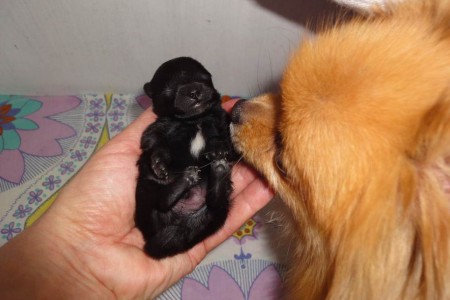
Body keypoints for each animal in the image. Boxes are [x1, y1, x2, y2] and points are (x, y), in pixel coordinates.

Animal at [135, 57, 236, 258]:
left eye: (204, 78)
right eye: (168, 91)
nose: (193, 91)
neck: (195, 120)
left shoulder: (224, 122)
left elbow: (227, 142)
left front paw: (217, 148)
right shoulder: (157, 127)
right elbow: (153, 141)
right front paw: (159, 162)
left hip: (218, 211)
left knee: (215, 203)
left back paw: (218, 171)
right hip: (145, 188)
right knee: (161, 201)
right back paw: (184, 180)